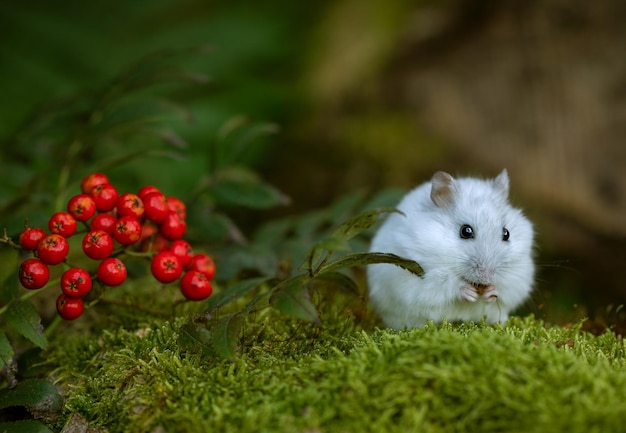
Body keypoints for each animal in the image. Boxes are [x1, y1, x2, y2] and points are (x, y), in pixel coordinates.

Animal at [368, 169, 532, 328]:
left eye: (506, 233)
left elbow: (505, 287)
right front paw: (468, 292)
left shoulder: (519, 275)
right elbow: (444, 282)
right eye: (466, 231)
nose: (486, 277)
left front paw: (490, 292)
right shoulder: (421, 273)